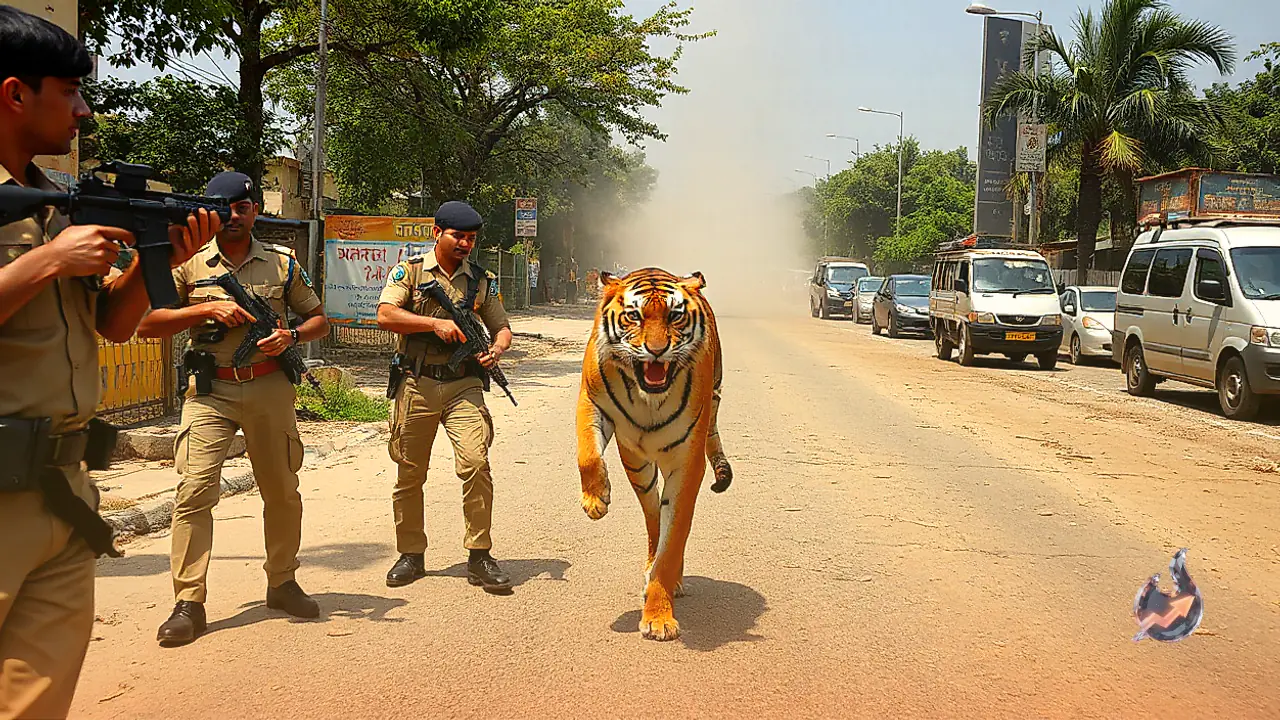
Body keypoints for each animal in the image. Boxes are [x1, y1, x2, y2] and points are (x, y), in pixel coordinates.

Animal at [576, 267, 732, 641]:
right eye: (634, 316)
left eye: (675, 316)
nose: (657, 351)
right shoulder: (591, 400)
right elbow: (588, 453)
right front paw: (595, 501)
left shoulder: (688, 463)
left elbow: (673, 539)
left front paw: (659, 618)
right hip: (638, 467)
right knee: (651, 517)